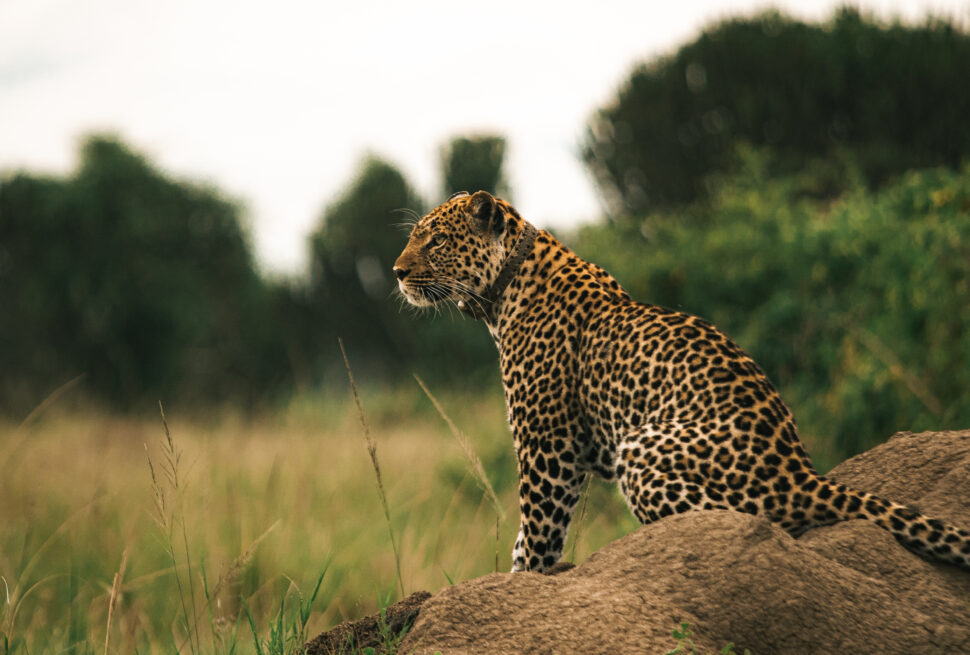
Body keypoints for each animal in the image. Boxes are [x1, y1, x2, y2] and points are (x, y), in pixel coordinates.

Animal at [393, 189, 970, 573]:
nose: (397, 271)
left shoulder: (547, 446)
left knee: (747, 524)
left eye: (436, 240)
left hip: (643, 451)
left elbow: (536, 531)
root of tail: (803, 474)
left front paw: (524, 579)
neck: (503, 288)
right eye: (414, 237)